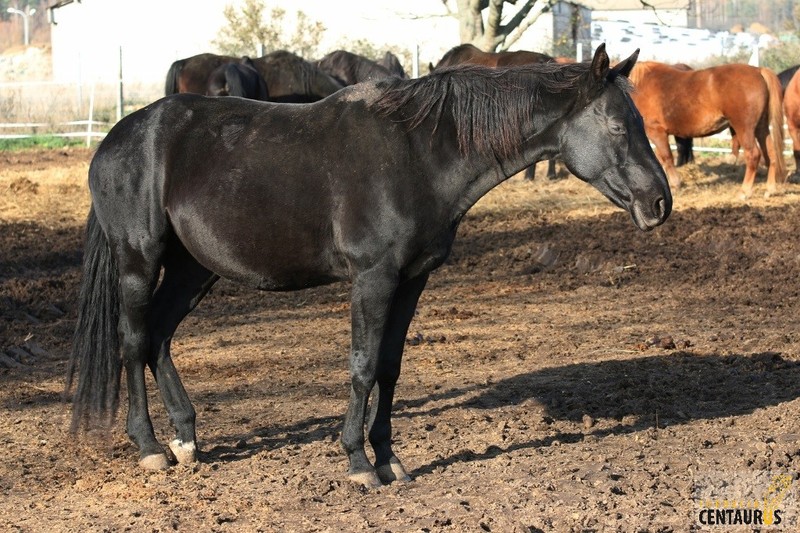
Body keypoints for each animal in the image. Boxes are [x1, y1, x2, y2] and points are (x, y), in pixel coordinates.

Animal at [67, 44, 668, 486]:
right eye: (618, 127)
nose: (660, 203)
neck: (419, 152)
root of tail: (119, 138)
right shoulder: (373, 279)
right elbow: (361, 365)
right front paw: (358, 463)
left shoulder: (412, 280)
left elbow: (389, 367)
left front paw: (389, 458)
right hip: (138, 260)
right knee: (133, 340)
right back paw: (150, 447)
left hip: (195, 268)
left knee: (160, 335)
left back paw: (187, 439)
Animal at [628, 60, 784, 197]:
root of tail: (758, 71)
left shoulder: (656, 131)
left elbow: (667, 158)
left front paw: (675, 185)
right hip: (761, 128)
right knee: (771, 154)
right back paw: (770, 189)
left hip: (744, 128)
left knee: (753, 155)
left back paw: (744, 191)